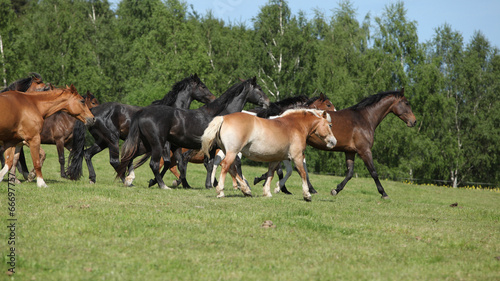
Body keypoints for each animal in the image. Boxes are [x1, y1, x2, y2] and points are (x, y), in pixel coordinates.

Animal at [66, 72, 215, 182]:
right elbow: (167, 163)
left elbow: (178, 164)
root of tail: (93, 113)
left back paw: (93, 178)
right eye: (202, 86)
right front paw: (154, 181)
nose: (213, 98)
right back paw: (126, 181)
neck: (173, 112)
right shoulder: (165, 144)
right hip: (112, 139)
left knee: (87, 154)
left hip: (102, 141)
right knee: (114, 161)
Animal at [116, 76, 270, 188]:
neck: (223, 115)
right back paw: (160, 185)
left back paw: (128, 179)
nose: (268, 102)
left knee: (129, 156)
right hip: (156, 144)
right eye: (259, 88)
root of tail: (143, 113)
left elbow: (210, 164)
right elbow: (213, 164)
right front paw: (210, 185)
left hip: (146, 144)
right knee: (152, 163)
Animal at [200, 107, 336, 201]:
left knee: (231, 169)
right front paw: (307, 195)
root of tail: (224, 118)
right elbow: (302, 174)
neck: (295, 126)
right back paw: (221, 191)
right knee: (225, 167)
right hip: (232, 152)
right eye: (329, 125)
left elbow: (271, 173)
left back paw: (246, 190)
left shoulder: (276, 158)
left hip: (229, 152)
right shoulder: (297, 157)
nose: (334, 142)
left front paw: (267, 192)